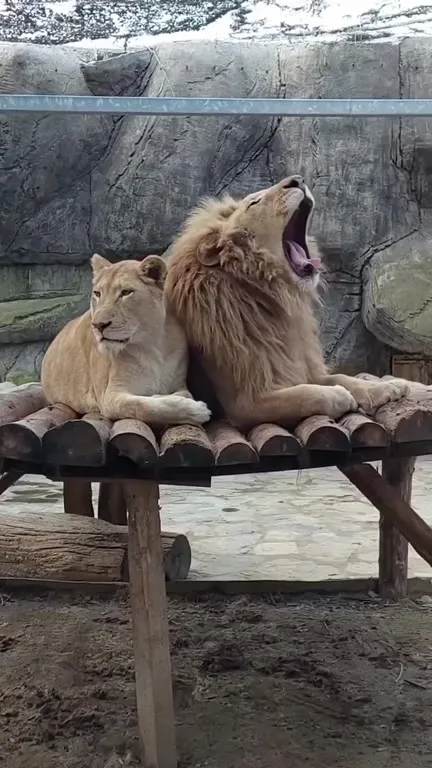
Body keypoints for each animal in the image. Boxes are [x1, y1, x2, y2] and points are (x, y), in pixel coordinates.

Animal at [41, 254, 211, 426]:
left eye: (126, 292)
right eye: (97, 293)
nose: (98, 325)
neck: (152, 344)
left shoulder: (180, 384)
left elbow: (183, 395)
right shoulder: (110, 397)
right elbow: (144, 406)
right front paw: (196, 411)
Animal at [164, 175, 413, 430]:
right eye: (254, 203)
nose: (297, 180)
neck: (274, 301)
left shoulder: (300, 365)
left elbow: (342, 377)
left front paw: (384, 387)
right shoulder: (244, 403)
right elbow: (304, 394)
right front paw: (338, 395)